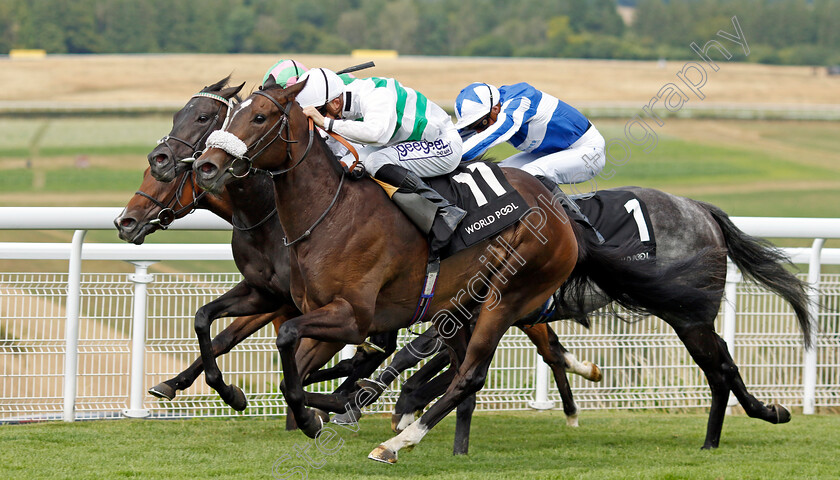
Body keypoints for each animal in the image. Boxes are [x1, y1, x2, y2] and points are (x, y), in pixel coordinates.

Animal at [190, 80, 720, 464]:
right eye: (230, 114)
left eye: (260, 117)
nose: (207, 166)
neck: (329, 212)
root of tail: (563, 213)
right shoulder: (305, 304)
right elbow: (252, 347)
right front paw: (249, 396)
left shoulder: (354, 316)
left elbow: (291, 346)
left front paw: (318, 413)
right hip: (465, 302)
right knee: (465, 369)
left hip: (505, 297)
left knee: (469, 375)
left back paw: (395, 444)